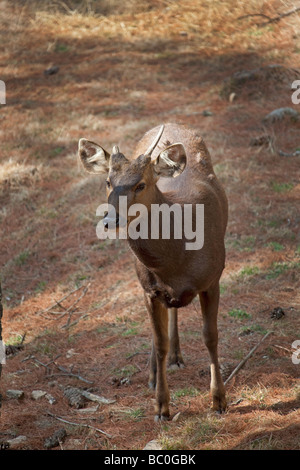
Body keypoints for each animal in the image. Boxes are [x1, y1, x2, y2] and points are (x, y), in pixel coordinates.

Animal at [77, 123, 227, 420]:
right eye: (108, 182)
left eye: (141, 184)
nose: (111, 220)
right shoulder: (149, 290)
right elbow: (159, 344)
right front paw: (161, 406)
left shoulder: (212, 279)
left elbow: (210, 336)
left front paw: (218, 400)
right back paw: (160, 368)